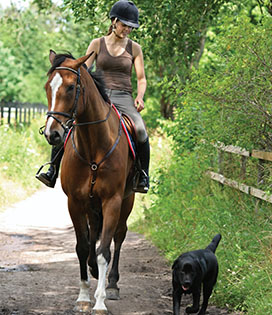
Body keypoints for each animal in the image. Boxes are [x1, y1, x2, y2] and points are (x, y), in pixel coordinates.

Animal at [43, 50, 136, 314]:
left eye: (71, 87)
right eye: (47, 87)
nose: (52, 134)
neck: (94, 146)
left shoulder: (113, 201)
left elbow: (105, 250)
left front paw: (100, 301)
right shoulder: (75, 202)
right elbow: (83, 247)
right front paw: (83, 297)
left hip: (127, 201)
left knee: (118, 236)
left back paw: (112, 284)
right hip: (91, 205)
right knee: (94, 233)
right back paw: (94, 271)